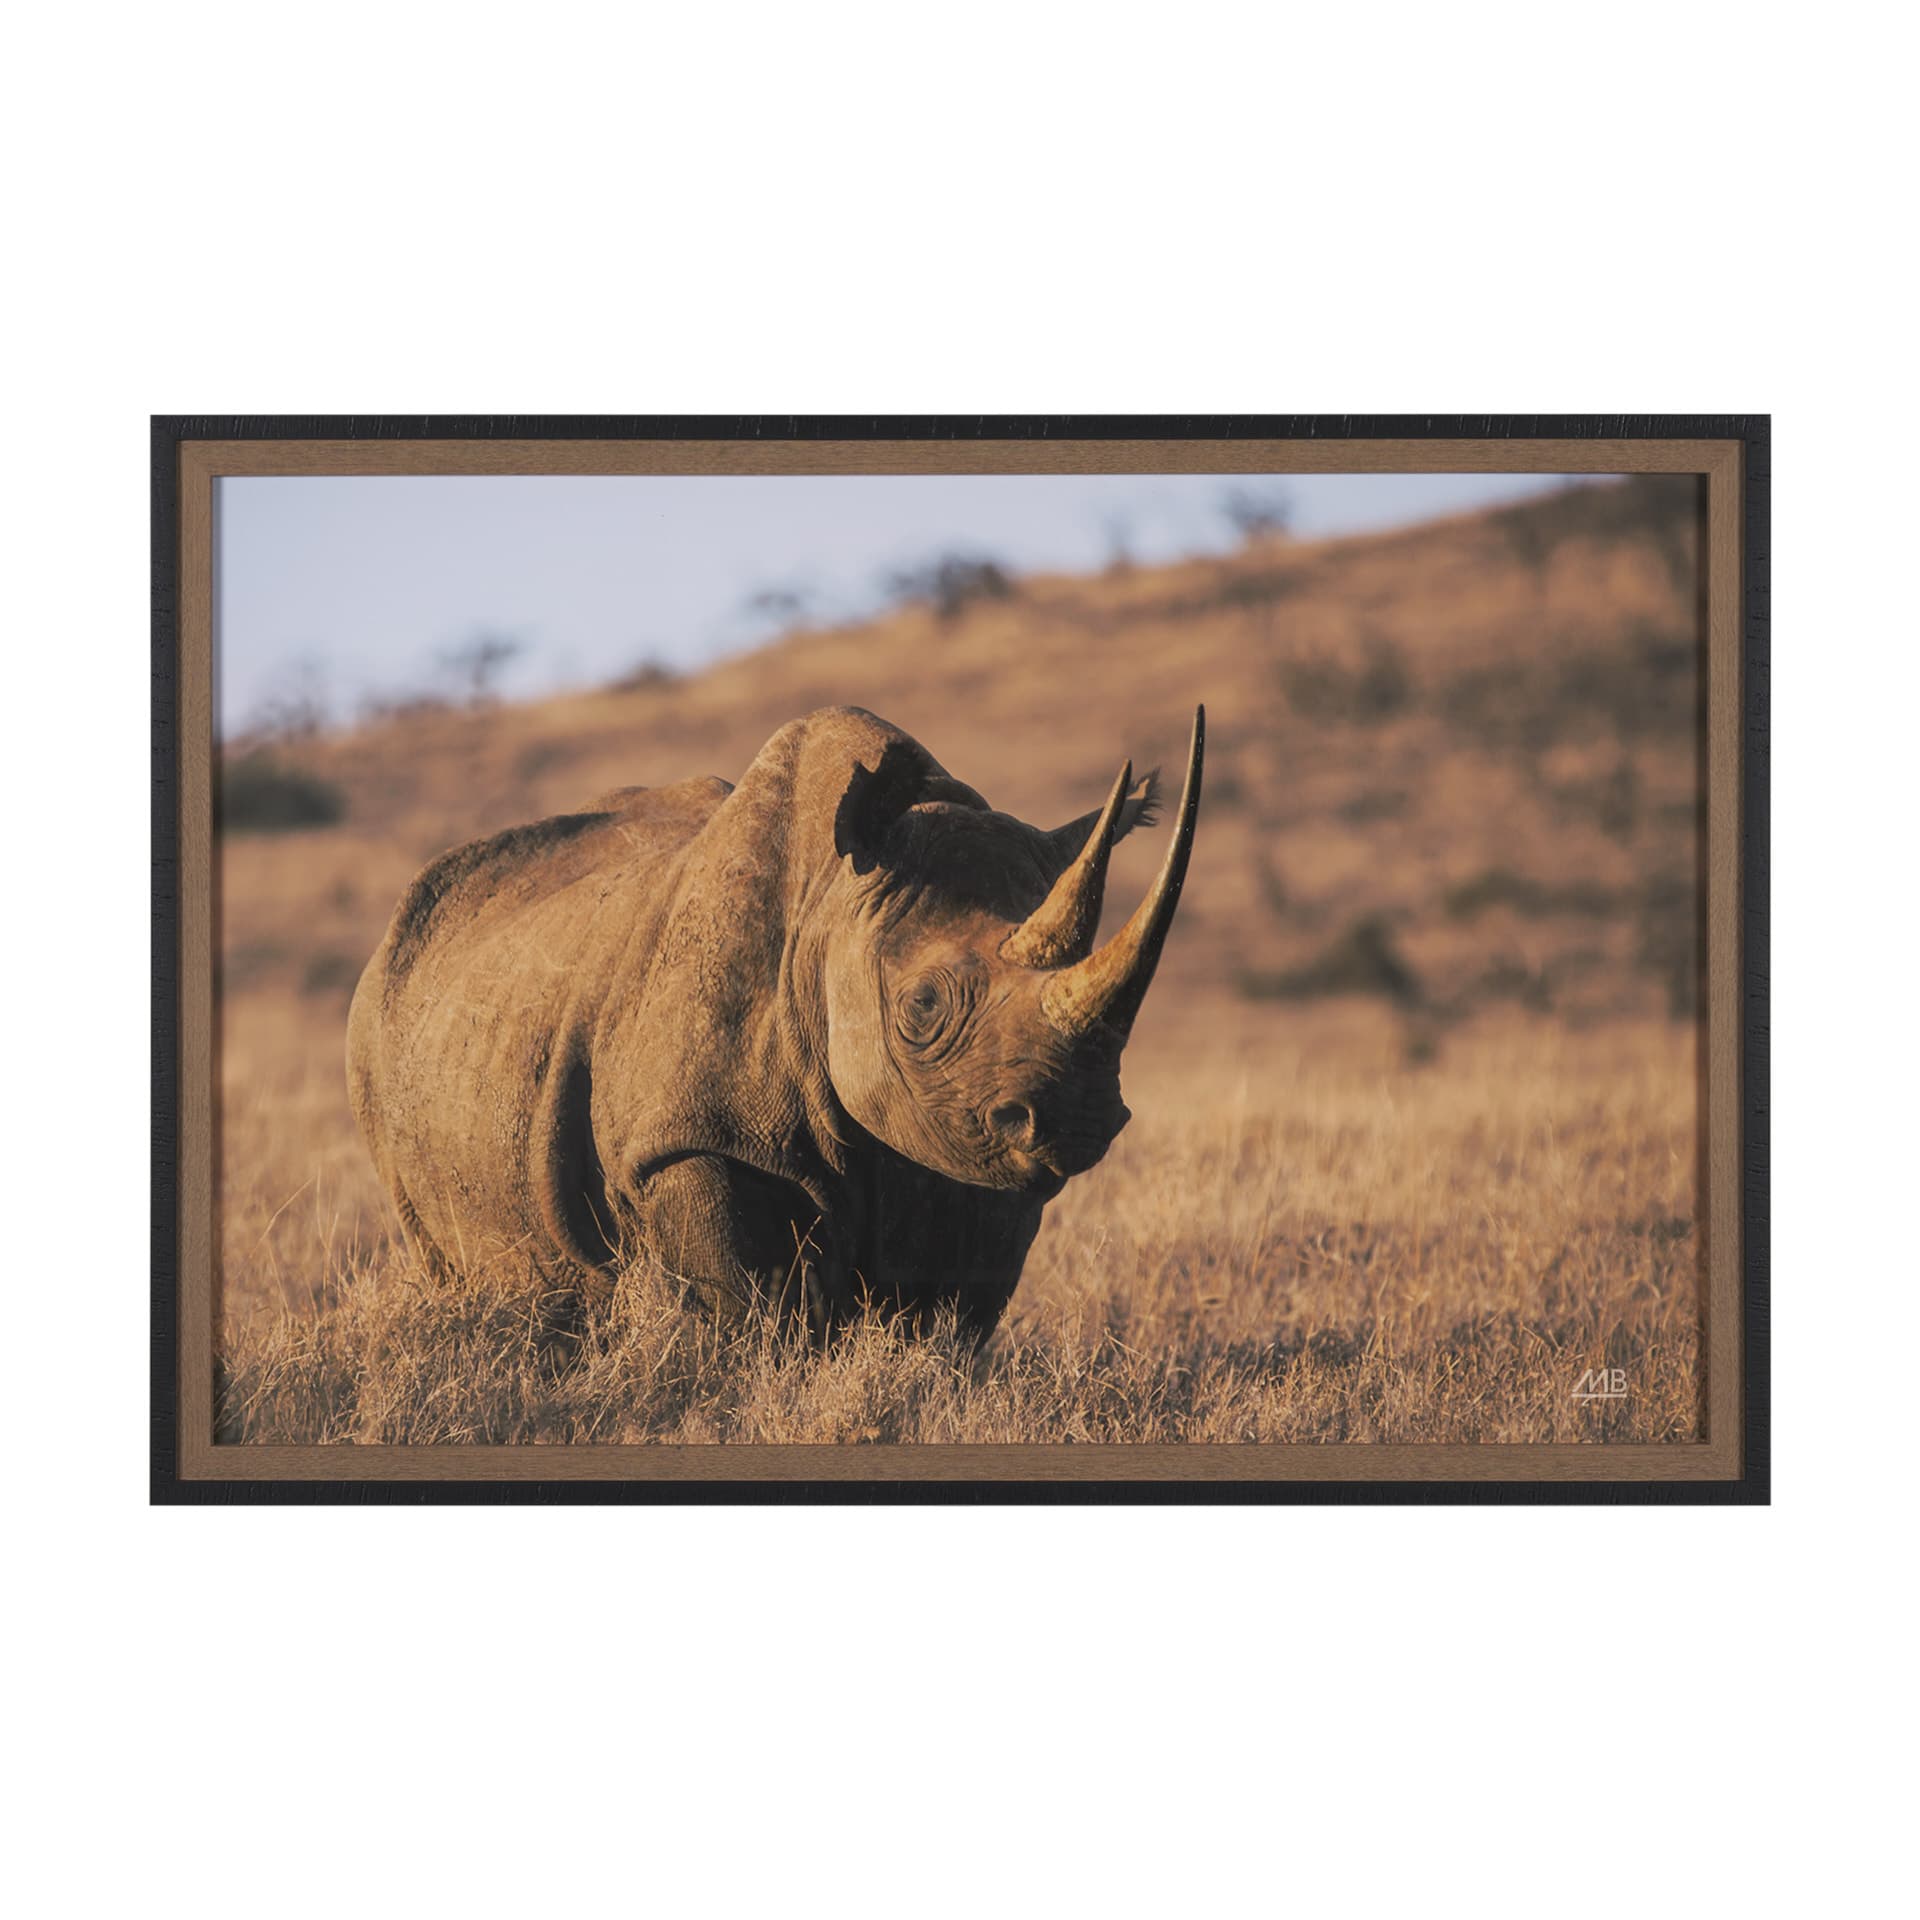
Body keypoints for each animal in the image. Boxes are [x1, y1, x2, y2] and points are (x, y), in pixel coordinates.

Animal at [347, 704, 1204, 1341]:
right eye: (923, 1007)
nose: (1078, 1119)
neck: (833, 909)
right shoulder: (692, 1135)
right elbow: (754, 1312)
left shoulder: (972, 1151)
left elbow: (951, 1317)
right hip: (374, 1037)